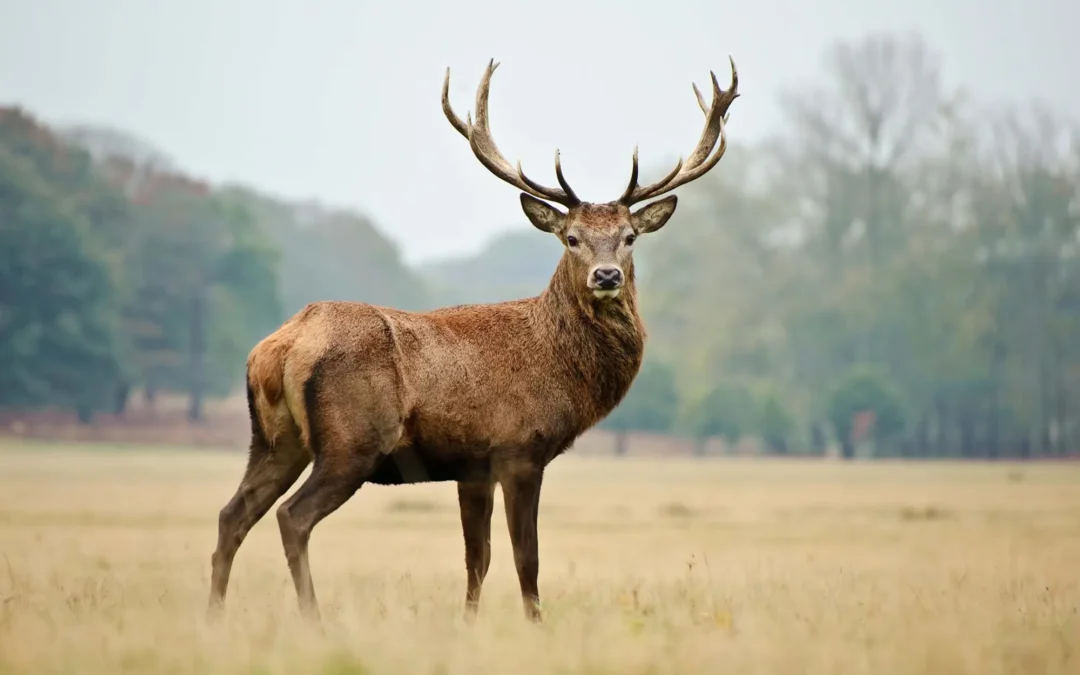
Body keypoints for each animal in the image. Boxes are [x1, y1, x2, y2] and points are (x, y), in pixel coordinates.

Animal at [207, 56, 739, 623]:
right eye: (571, 238)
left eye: (630, 237)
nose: (607, 275)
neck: (560, 368)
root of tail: (280, 346)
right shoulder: (519, 448)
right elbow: (526, 558)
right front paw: (535, 624)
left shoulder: (472, 466)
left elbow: (476, 559)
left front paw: (468, 623)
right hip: (351, 441)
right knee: (292, 517)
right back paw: (314, 620)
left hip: (274, 439)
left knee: (232, 514)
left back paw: (214, 617)